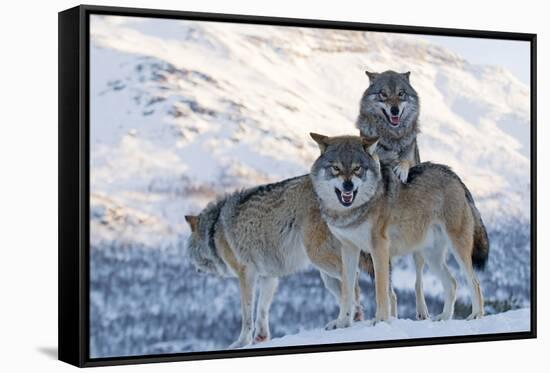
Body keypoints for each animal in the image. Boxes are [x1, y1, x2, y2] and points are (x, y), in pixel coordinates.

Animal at [310, 135, 492, 326]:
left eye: (357, 168)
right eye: (336, 168)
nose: (348, 186)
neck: (350, 211)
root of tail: (455, 176)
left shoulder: (379, 248)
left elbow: (381, 290)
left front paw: (380, 321)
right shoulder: (349, 249)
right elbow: (347, 292)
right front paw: (342, 323)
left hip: (458, 249)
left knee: (475, 282)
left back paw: (476, 315)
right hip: (432, 256)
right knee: (452, 282)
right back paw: (443, 317)